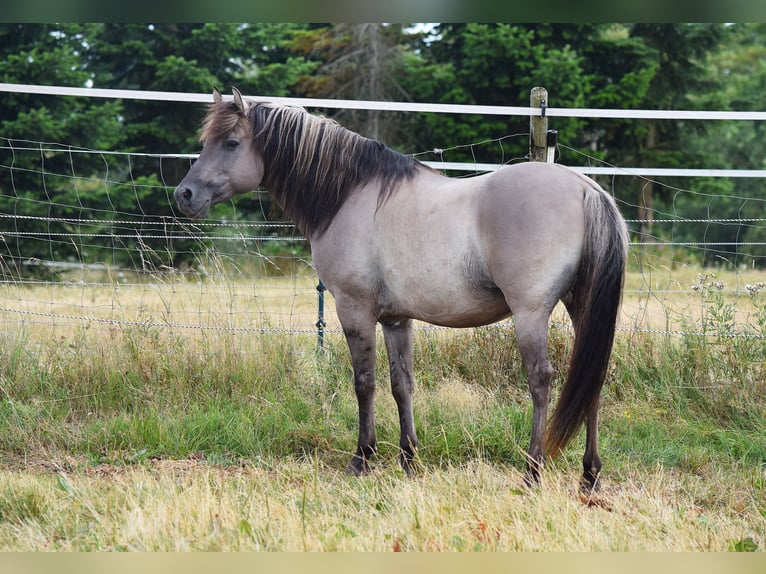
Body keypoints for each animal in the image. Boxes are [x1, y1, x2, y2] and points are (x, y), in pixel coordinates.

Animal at [174, 88, 628, 490]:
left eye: (231, 142)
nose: (184, 194)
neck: (349, 196)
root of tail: (586, 188)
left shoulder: (354, 310)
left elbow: (365, 382)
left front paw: (363, 458)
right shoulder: (396, 320)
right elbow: (401, 384)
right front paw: (409, 459)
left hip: (530, 313)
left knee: (541, 381)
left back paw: (532, 472)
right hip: (581, 307)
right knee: (591, 376)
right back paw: (589, 475)